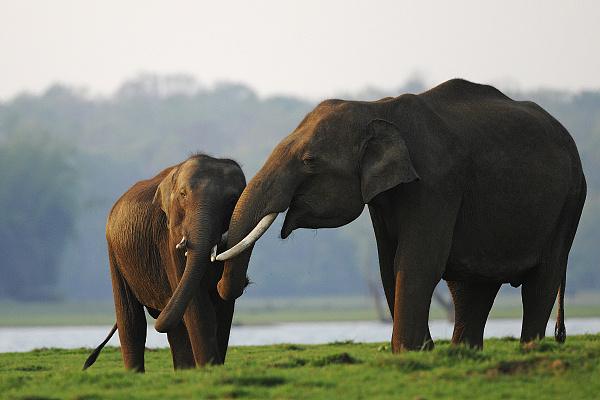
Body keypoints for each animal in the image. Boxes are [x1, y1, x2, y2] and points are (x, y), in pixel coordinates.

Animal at [83, 153, 245, 372]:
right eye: (183, 194)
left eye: (232, 200)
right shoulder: (167, 240)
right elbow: (198, 306)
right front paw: (210, 370)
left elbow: (223, 307)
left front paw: (211, 370)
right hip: (114, 252)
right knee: (132, 321)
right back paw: (135, 374)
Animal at [212, 79, 584, 352]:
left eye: (310, 161)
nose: (233, 284)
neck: (377, 108)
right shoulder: (384, 198)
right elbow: (387, 262)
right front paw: (420, 351)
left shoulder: (437, 183)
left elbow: (418, 261)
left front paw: (410, 351)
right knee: (471, 288)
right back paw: (462, 354)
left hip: (569, 203)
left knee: (542, 279)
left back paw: (529, 349)